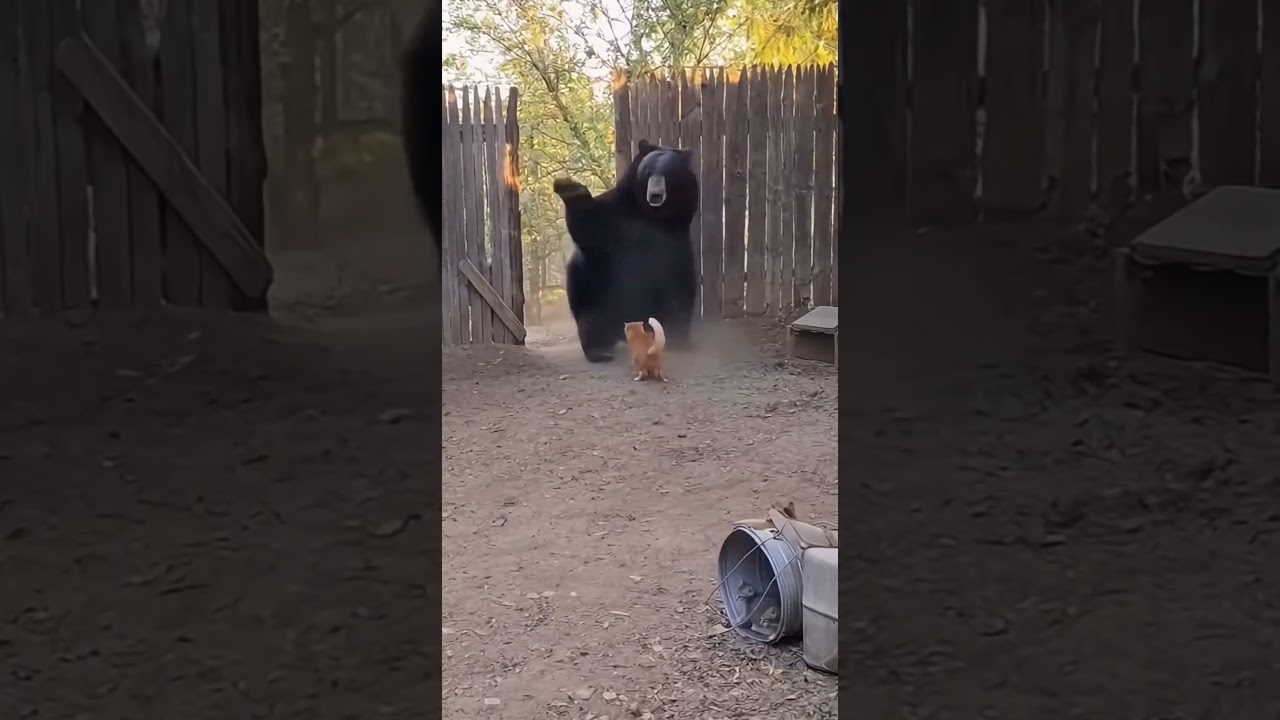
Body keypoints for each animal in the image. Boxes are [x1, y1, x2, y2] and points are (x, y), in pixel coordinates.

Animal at [554, 140, 700, 363]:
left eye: (668, 173)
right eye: (648, 172)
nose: (655, 194)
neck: (652, 216)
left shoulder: (675, 240)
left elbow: (678, 290)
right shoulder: (618, 216)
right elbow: (590, 226)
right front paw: (568, 186)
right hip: (589, 286)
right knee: (592, 315)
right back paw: (600, 350)